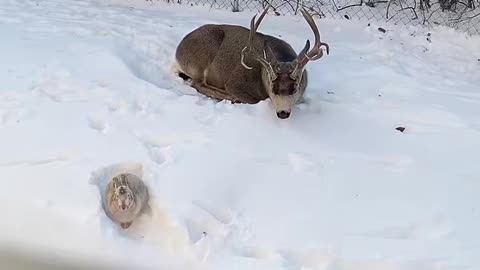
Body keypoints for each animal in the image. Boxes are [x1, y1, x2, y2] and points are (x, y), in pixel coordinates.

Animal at [173, 6, 330, 118]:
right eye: (272, 88)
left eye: (295, 88)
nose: (283, 113)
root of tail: (177, 52)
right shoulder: (235, 82)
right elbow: (252, 99)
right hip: (201, 57)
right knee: (197, 84)